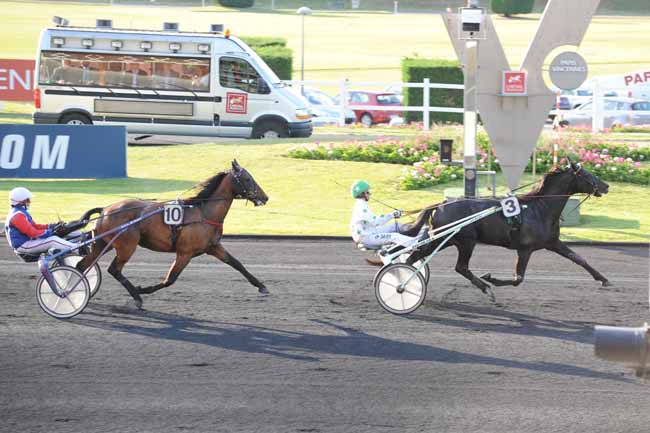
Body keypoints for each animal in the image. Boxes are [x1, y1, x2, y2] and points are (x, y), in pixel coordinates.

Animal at [76, 159, 268, 308]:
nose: (265, 197)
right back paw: (136, 297)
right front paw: (141, 290)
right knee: (114, 269)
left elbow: (237, 264)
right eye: (247, 179)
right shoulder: (185, 253)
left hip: (104, 243)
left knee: (82, 265)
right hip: (126, 246)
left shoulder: (213, 247)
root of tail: (105, 210)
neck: (204, 213)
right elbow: (169, 280)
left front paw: (261, 286)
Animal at [402, 160, 612, 298]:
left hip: (446, 239)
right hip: (464, 241)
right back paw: (485, 288)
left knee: (415, 256)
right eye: (587, 175)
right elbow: (518, 278)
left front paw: (603, 279)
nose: (607, 186)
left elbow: (579, 259)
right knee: (460, 267)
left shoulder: (553, 242)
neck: (540, 208)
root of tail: (441, 204)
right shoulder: (525, 249)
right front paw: (491, 278)